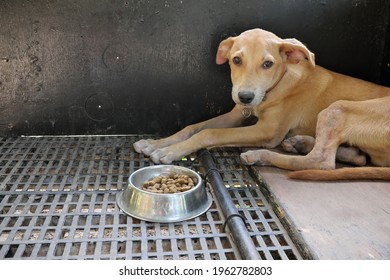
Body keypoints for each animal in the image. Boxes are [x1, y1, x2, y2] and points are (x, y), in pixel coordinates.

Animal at [133, 29, 390, 182]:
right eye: (236, 60)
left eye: (268, 64)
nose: (245, 97)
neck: (278, 84)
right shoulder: (236, 114)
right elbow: (193, 127)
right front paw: (156, 143)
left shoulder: (268, 131)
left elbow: (209, 133)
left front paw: (168, 151)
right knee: (357, 158)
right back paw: (303, 143)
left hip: (338, 108)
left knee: (323, 162)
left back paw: (260, 155)